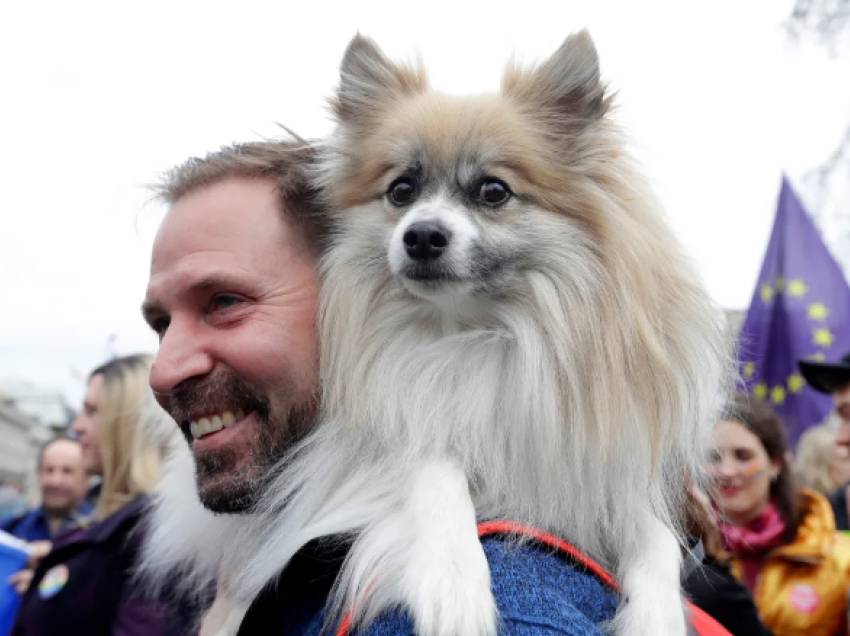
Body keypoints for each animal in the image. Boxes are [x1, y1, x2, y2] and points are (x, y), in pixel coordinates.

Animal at [139, 31, 728, 636]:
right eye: (401, 190)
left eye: (493, 191)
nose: (422, 234)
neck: (471, 332)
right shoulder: (381, 434)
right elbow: (433, 465)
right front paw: (455, 580)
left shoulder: (600, 468)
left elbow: (654, 534)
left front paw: (657, 616)